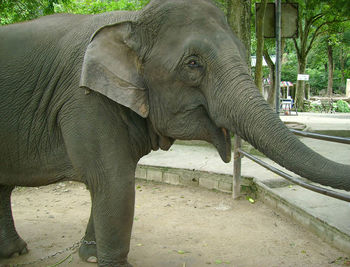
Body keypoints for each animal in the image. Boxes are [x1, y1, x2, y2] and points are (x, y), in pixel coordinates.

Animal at [0, 0, 348, 266]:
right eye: (193, 64)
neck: (132, 20)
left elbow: (109, 184)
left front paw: (90, 256)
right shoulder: (85, 101)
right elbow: (114, 183)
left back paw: (14, 252)